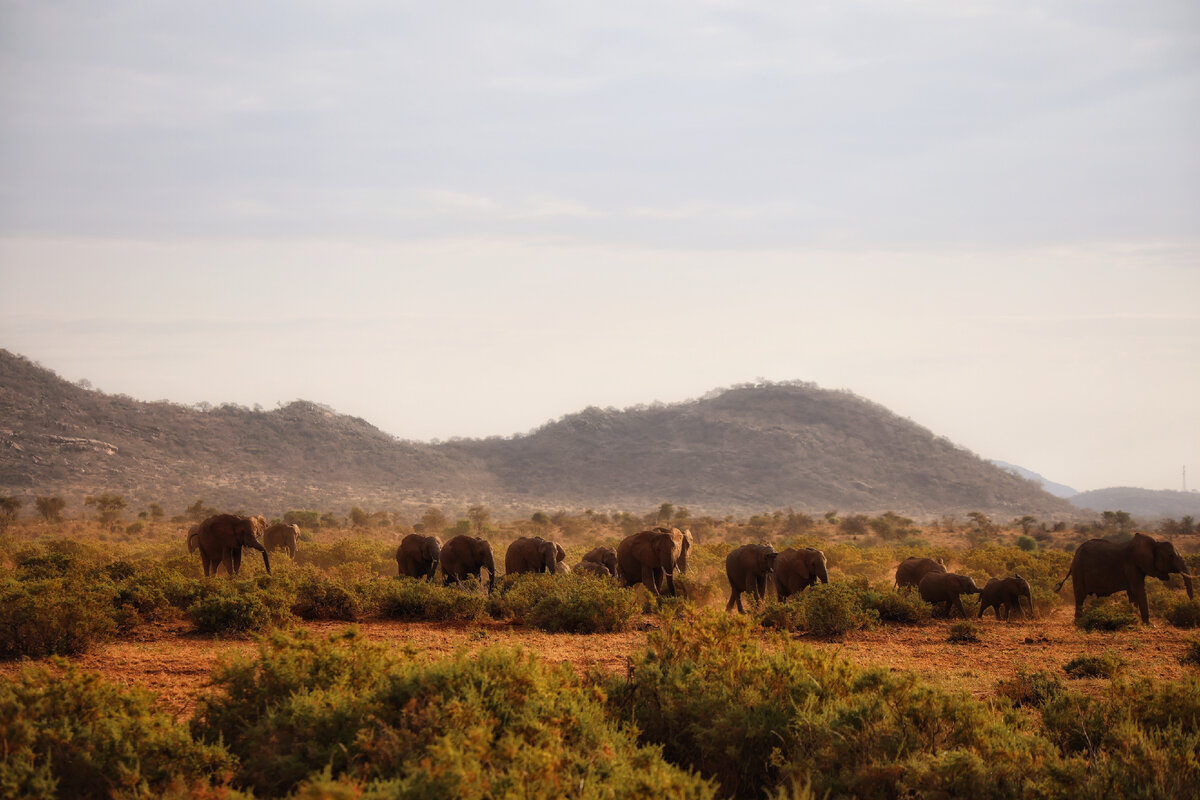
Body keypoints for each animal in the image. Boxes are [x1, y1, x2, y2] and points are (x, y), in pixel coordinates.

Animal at [1056, 532, 1195, 623]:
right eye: (1171, 556)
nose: (1191, 603)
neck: (1154, 543)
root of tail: (1074, 556)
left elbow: (1133, 593)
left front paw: (1132, 618)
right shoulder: (1131, 565)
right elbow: (1139, 590)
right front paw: (1149, 625)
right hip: (1078, 570)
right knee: (1080, 596)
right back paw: (1078, 623)